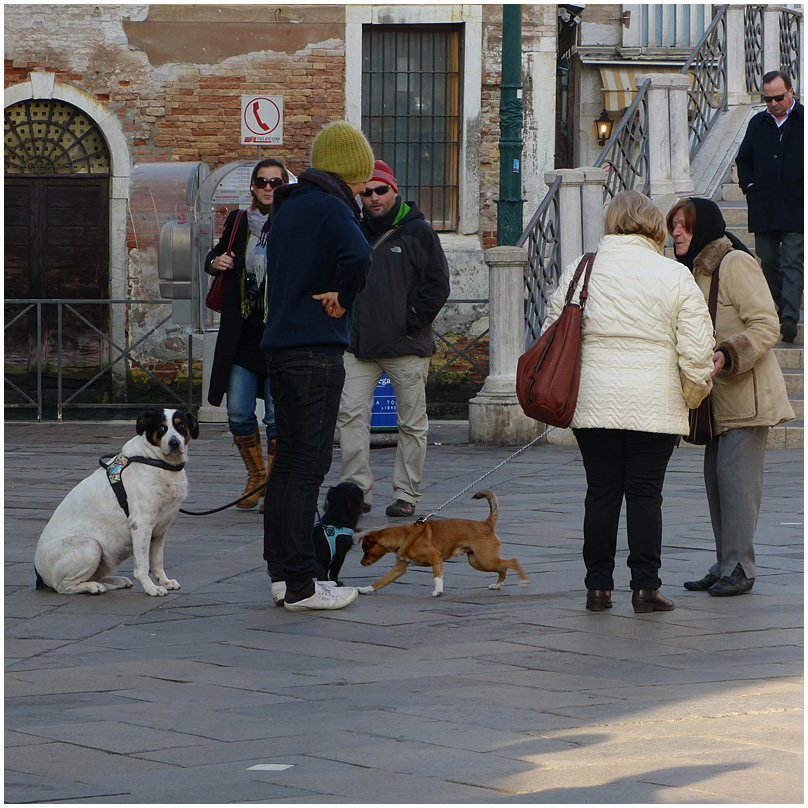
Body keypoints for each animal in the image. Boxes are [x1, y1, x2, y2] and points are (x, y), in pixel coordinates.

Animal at [34, 408, 199, 596]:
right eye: (161, 428)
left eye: (181, 425)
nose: (174, 443)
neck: (156, 461)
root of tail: (39, 574)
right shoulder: (141, 525)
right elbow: (143, 567)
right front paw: (151, 588)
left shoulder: (160, 530)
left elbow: (157, 562)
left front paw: (164, 582)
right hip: (91, 546)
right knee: (63, 586)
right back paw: (93, 587)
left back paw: (112, 582)